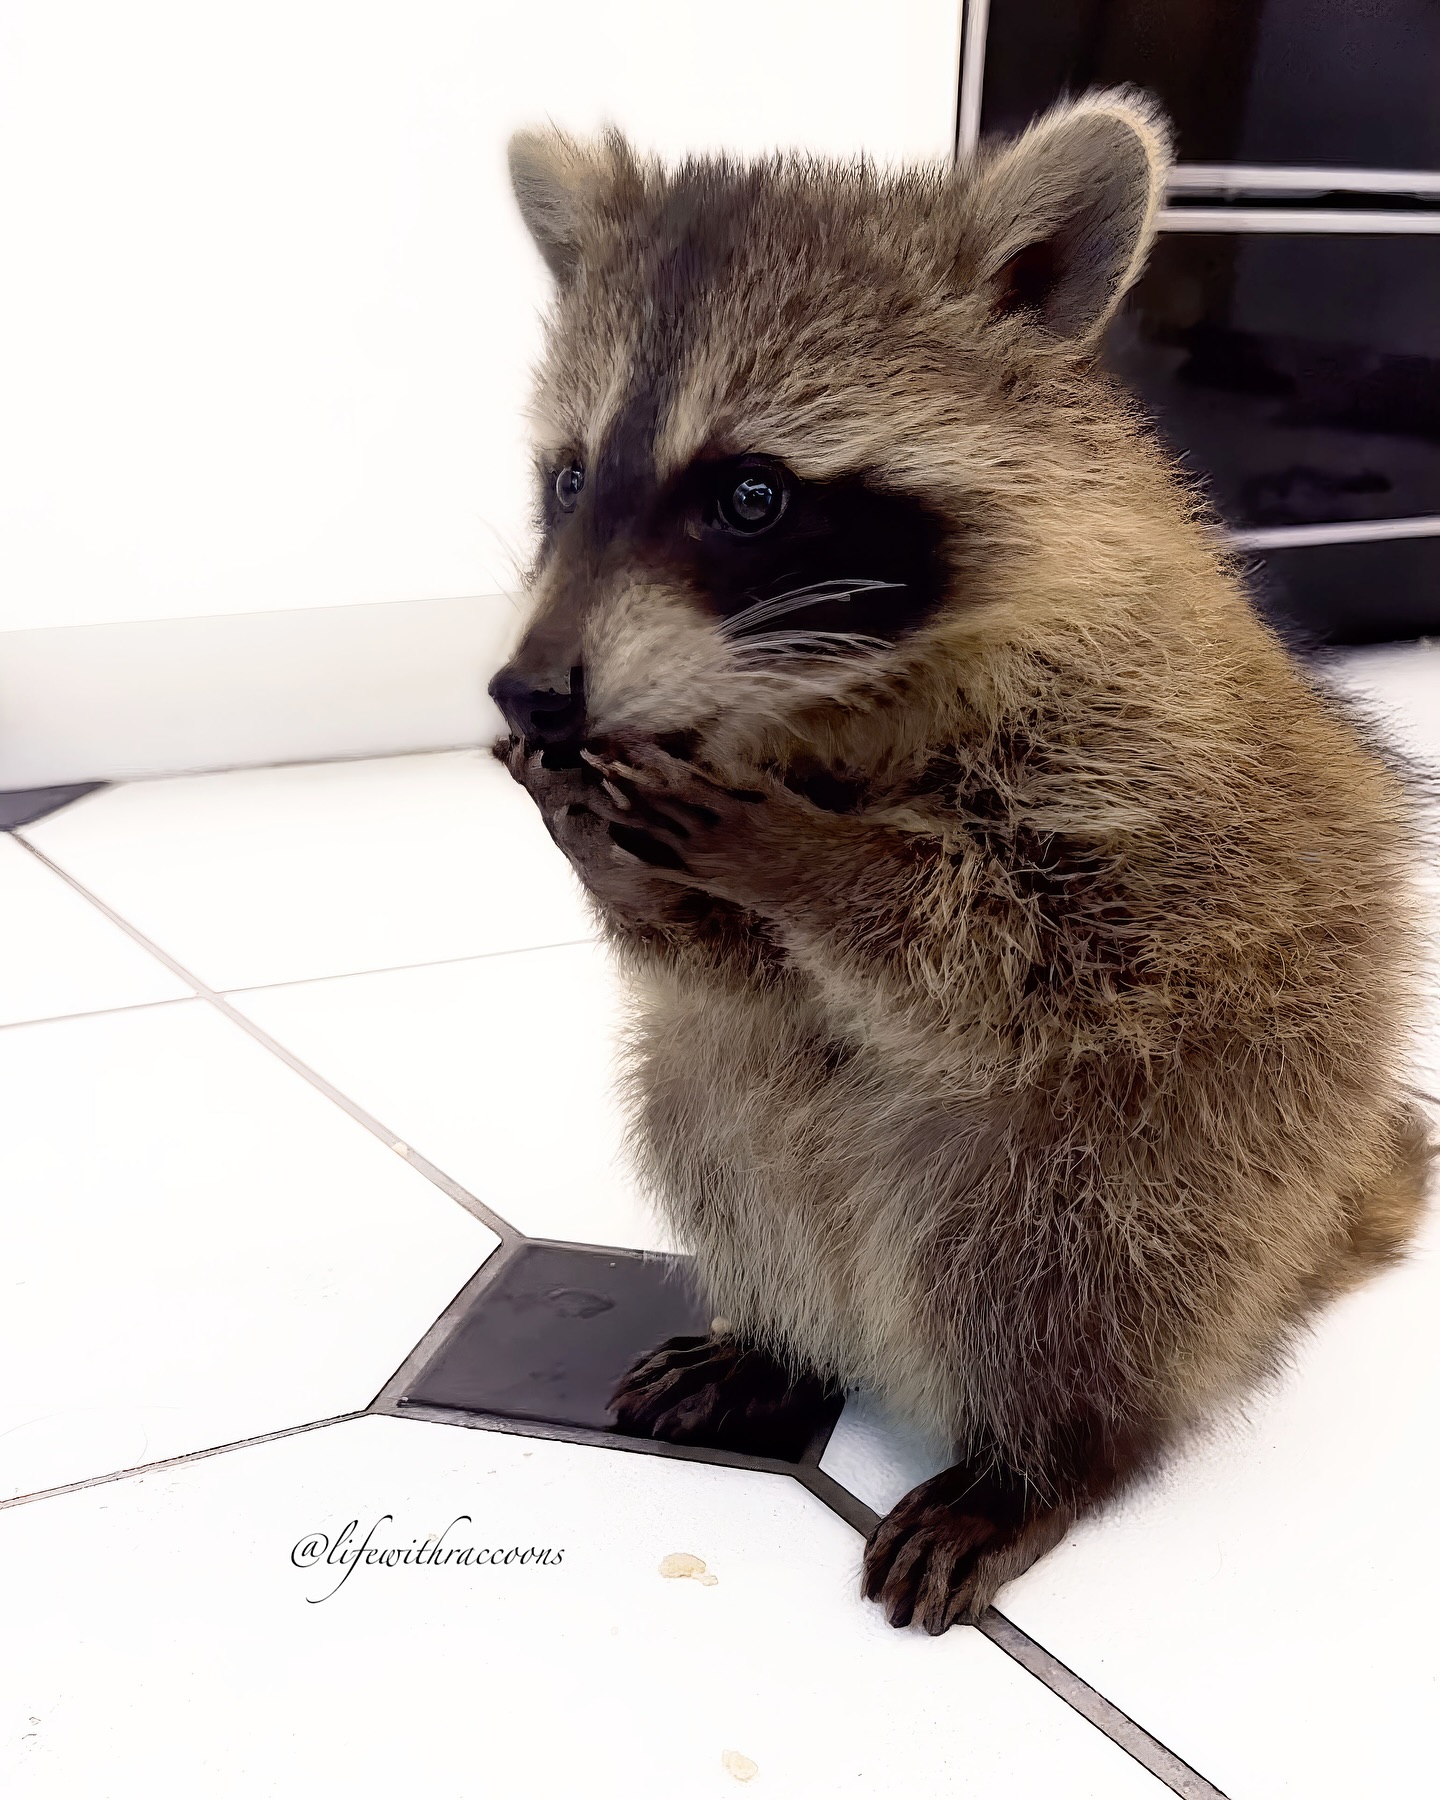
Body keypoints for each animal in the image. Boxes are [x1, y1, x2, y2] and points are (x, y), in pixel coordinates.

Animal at [488, 91, 1432, 1633]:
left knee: (1067, 1260)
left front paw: (816, 865)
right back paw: (791, 1341)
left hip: (1189, 1153)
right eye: (569, 478)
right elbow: (732, 977)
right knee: (716, 1105)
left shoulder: (1142, 760)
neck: (811, 692)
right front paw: (610, 850)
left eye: (751, 497)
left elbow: (1029, 955)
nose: (531, 693)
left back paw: (1049, 1452)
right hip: (761, 1131)